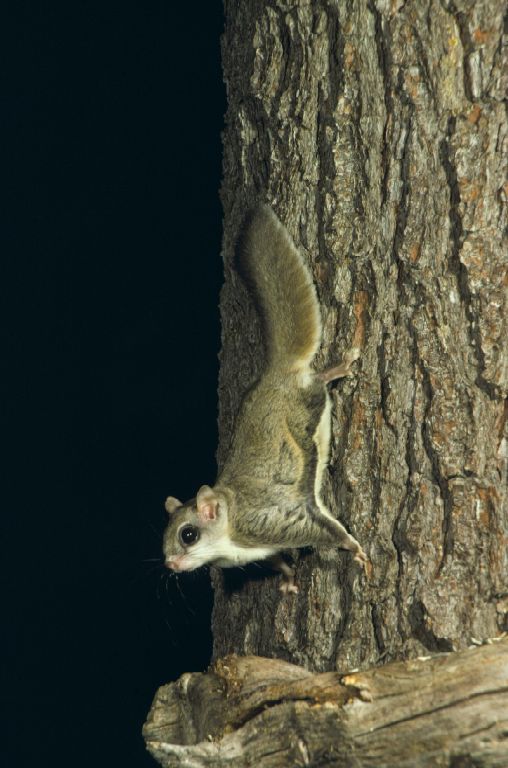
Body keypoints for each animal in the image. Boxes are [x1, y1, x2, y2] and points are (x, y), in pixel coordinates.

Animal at [163, 204, 367, 593]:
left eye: (188, 535)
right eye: (162, 538)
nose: (170, 564)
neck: (228, 532)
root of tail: (276, 373)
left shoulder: (270, 521)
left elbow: (322, 530)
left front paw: (353, 547)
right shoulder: (259, 549)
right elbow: (275, 560)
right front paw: (287, 578)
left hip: (307, 403)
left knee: (318, 382)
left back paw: (339, 368)